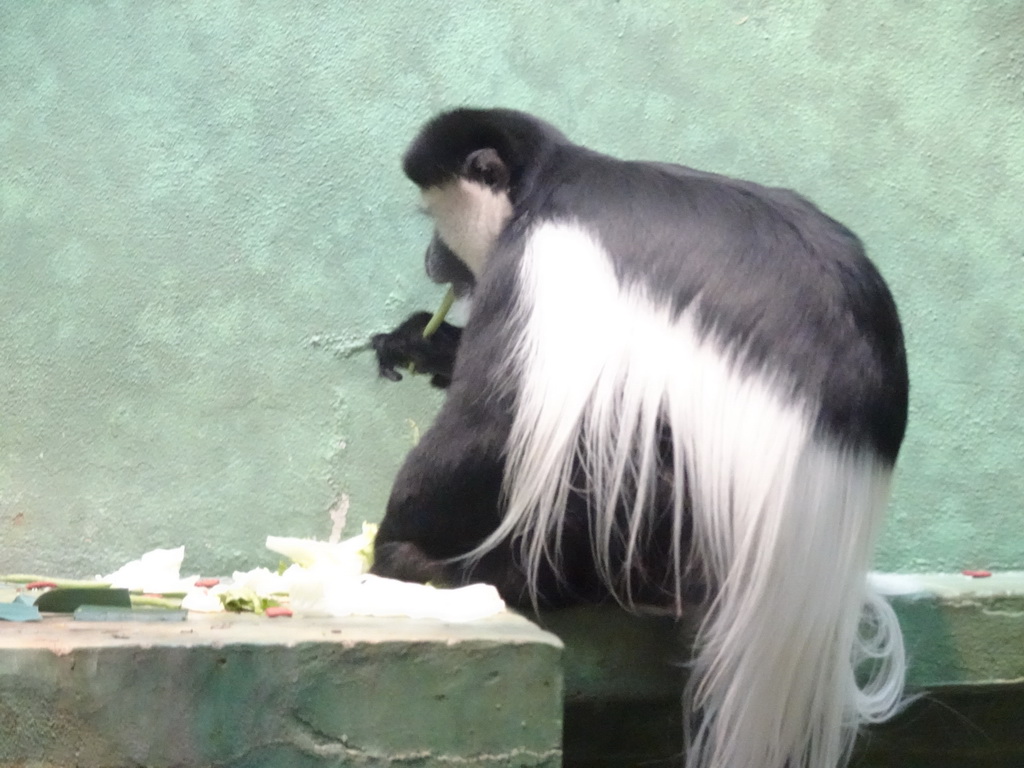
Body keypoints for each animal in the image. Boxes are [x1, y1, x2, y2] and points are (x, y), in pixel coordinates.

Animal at [368, 107, 905, 768]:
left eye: (433, 220)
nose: (433, 260)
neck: (547, 182)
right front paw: (420, 340)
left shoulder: (542, 259)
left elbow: (492, 425)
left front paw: (392, 541)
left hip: (660, 526)